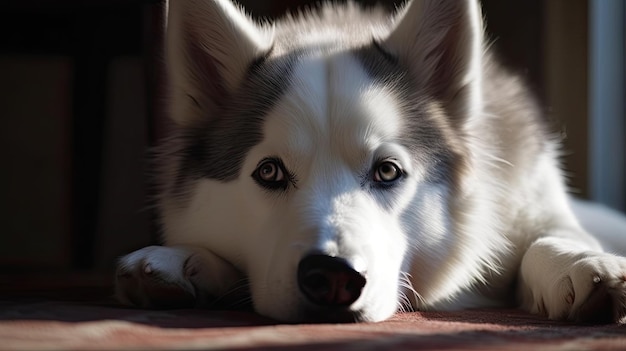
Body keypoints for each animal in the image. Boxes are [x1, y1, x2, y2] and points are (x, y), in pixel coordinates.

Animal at [116, 0, 624, 324]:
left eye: (387, 171)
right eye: (269, 171)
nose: (332, 277)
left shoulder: (534, 202)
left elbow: (552, 238)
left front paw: (583, 263)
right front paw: (178, 259)